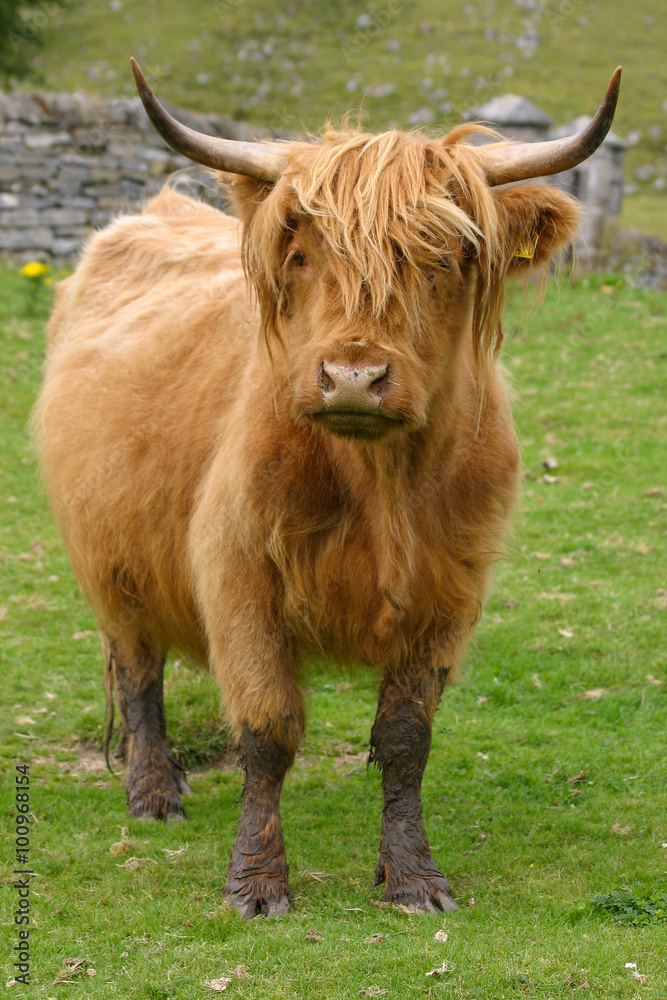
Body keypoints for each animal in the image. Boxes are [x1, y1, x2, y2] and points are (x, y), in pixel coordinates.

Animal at [34, 62, 620, 916]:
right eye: (302, 252)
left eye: (443, 256)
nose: (352, 376)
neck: (377, 485)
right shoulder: (238, 578)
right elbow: (268, 730)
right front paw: (255, 884)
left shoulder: (449, 594)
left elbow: (406, 739)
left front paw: (412, 879)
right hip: (111, 560)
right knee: (139, 671)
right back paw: (155, 793)